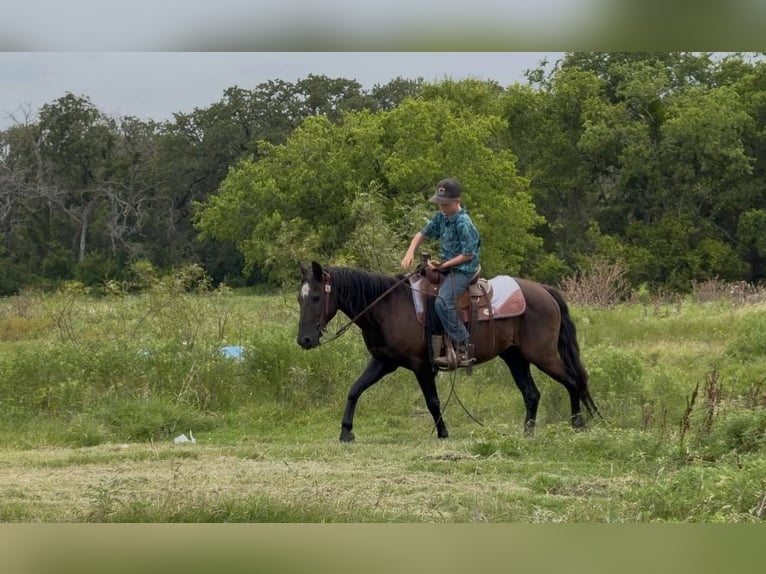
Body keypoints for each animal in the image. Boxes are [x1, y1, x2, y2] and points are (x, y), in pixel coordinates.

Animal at [296, 261, 598, 442]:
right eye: (299, 298)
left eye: (316, 297)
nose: (304, 340)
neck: (389, 307)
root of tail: (545, 291)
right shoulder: (383, 362)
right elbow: (354, 390)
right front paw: (346, 432)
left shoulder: (420, 365)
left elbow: (432, 401)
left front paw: (443, 433)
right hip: (515, 357)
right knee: (532, 393)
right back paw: (527, 433)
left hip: (542, 355)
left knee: (572, 380)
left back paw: (577, 424)